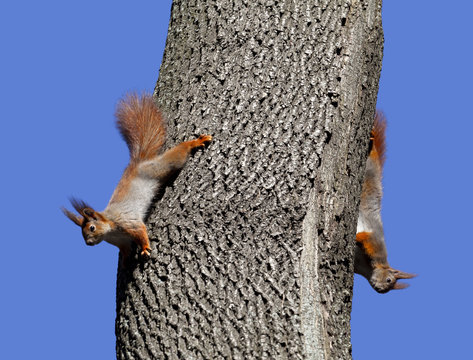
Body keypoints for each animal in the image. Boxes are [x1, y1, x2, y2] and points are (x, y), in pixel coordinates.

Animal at [61, 93, 212, 258]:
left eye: (92, 228)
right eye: (82, 234)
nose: (88, 243)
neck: (110, 230)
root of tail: (139, 163)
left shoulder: (128, 222)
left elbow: (140, 231)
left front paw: (145, 247)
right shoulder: (121, 242)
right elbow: (125, 250)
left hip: (162, 166)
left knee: (179, 153)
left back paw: (195, 142)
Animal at [352, 111, 414, 294]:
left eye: (389, 286)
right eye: (389, 279)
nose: (380, 289)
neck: (366, 268)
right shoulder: (376, 243)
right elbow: (366, 237)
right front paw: (357, 236)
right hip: (370, 166)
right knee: (372, 151)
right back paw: (372, 138)